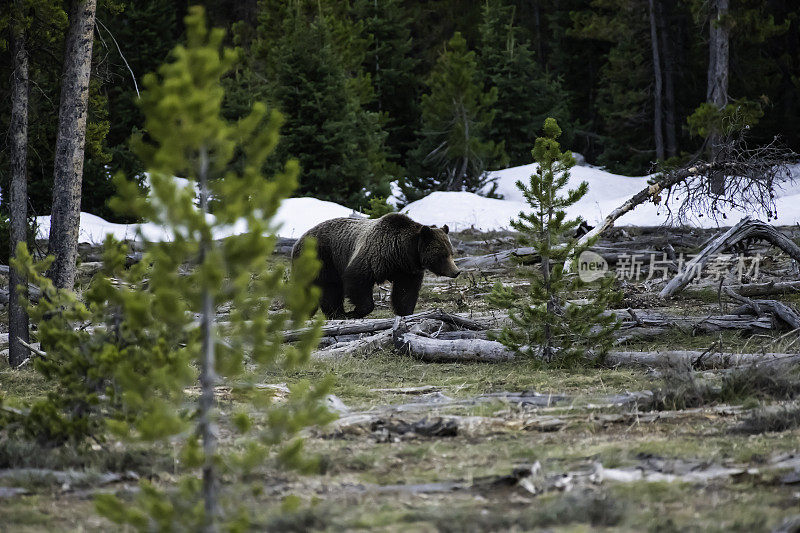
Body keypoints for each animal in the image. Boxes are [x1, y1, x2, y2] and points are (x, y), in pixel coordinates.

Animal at [290, 213, 460, 320]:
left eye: (451, 253)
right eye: (442, 255)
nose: (456, 271)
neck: (401, 253)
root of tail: (298, 240)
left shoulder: (407, 270)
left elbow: (405, 292)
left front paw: (406, 313)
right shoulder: (374, 255)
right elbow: (357, 279)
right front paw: (356, 312)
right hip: (323, 257)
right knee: (327, 288)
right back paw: (336, 314)